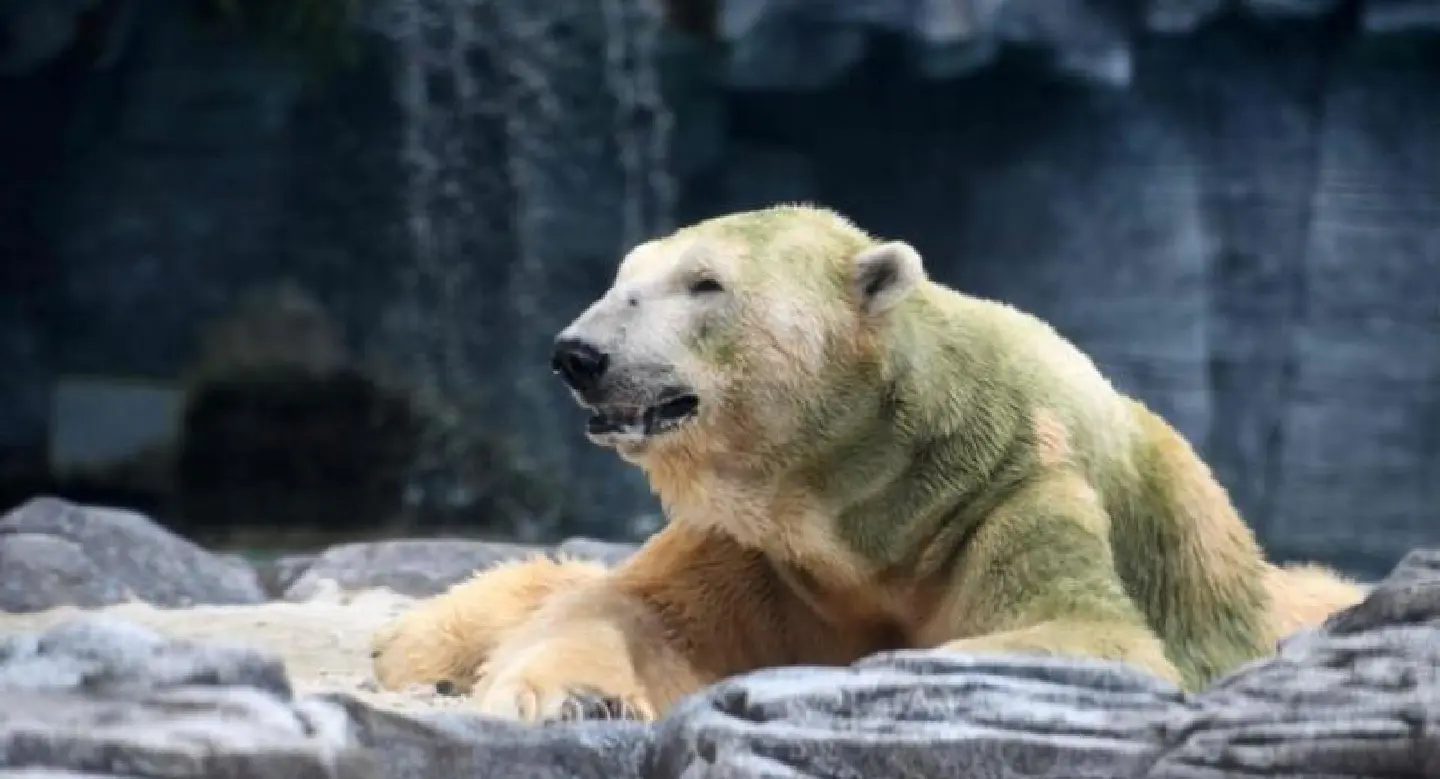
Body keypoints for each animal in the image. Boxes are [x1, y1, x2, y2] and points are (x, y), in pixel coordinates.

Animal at [370, 204, 1365, 722]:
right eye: (622, 279)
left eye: (704, 283)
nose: (580, 354)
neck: (874, 500)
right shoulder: (761, 544)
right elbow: (632, 611)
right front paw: (577, 697)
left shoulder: (1019, 495)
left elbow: (1089, 633)